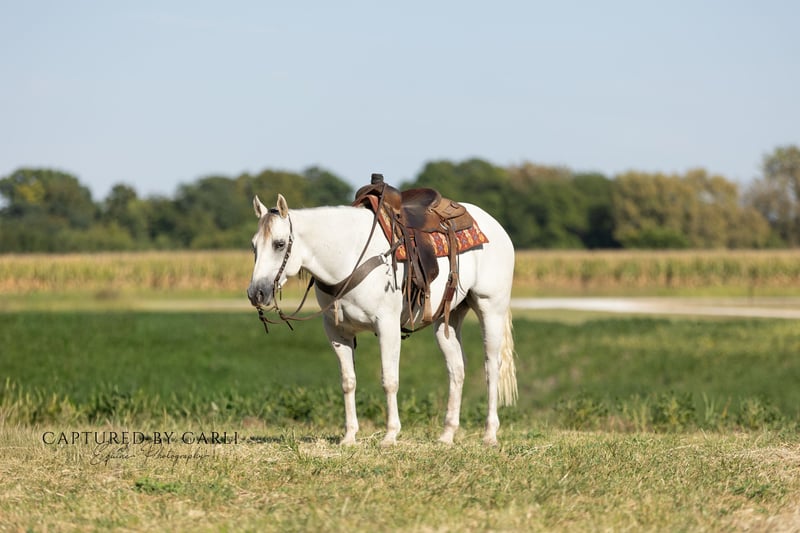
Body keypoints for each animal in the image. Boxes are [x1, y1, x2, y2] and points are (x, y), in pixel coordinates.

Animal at [247, 192, 517, 446]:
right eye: (253, 246)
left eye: (279, 244)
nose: (256, 293)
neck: (349, 257)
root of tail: (495, 226)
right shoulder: (336, 332)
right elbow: (348, 381)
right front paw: (349, 436)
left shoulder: (387, 325)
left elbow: (389, 379)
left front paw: (390, 435)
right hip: (447, 320)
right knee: (457, 368)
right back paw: (447, 435)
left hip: (490, 308)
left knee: (491, 367)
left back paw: (489, 434)